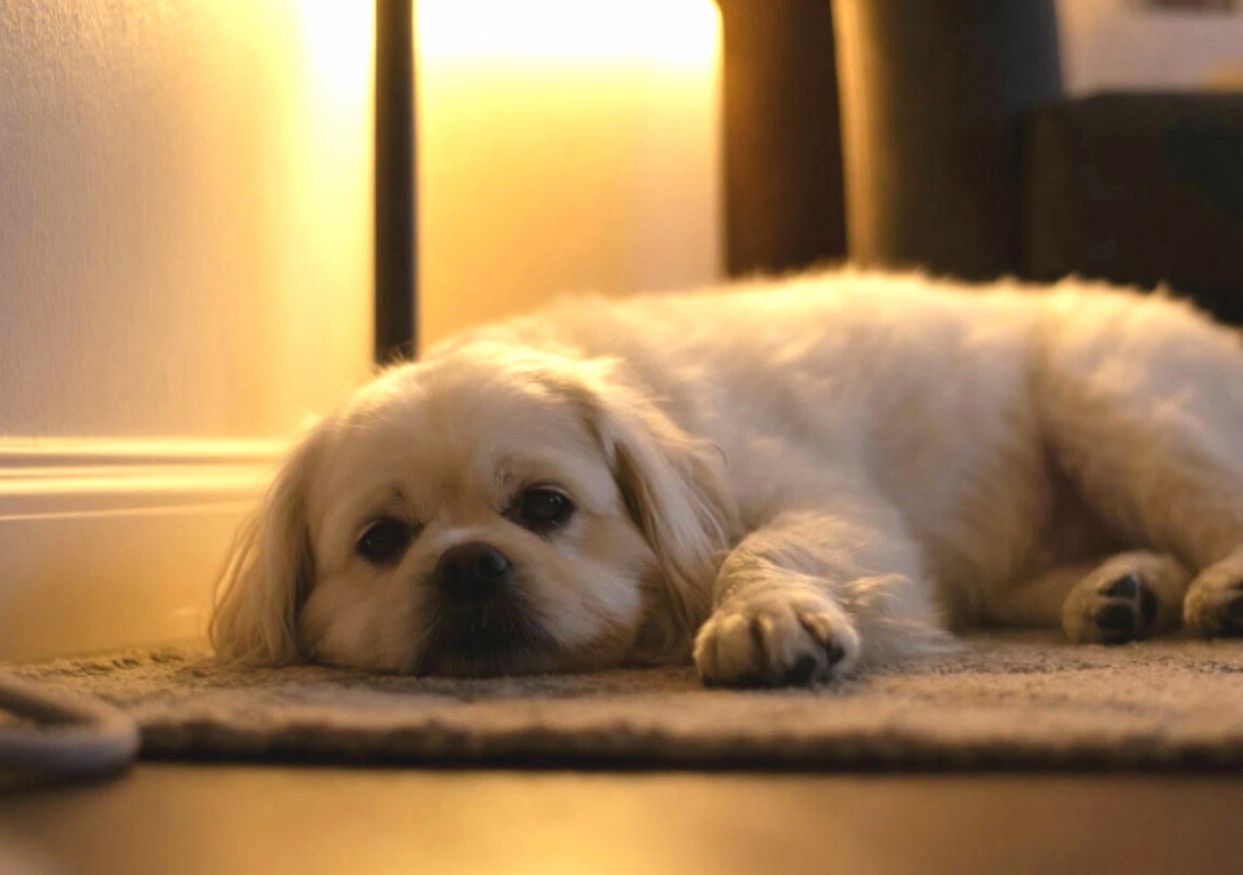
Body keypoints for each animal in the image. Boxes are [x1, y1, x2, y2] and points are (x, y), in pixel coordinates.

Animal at [210, 269, 1243, 686]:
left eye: (545, 506)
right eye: (381, 542)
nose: (468, 562)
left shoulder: (832, 506)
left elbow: (760, 549)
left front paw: (763, 619)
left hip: (1113, 401)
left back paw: (1216, 592)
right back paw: (1122, 592)